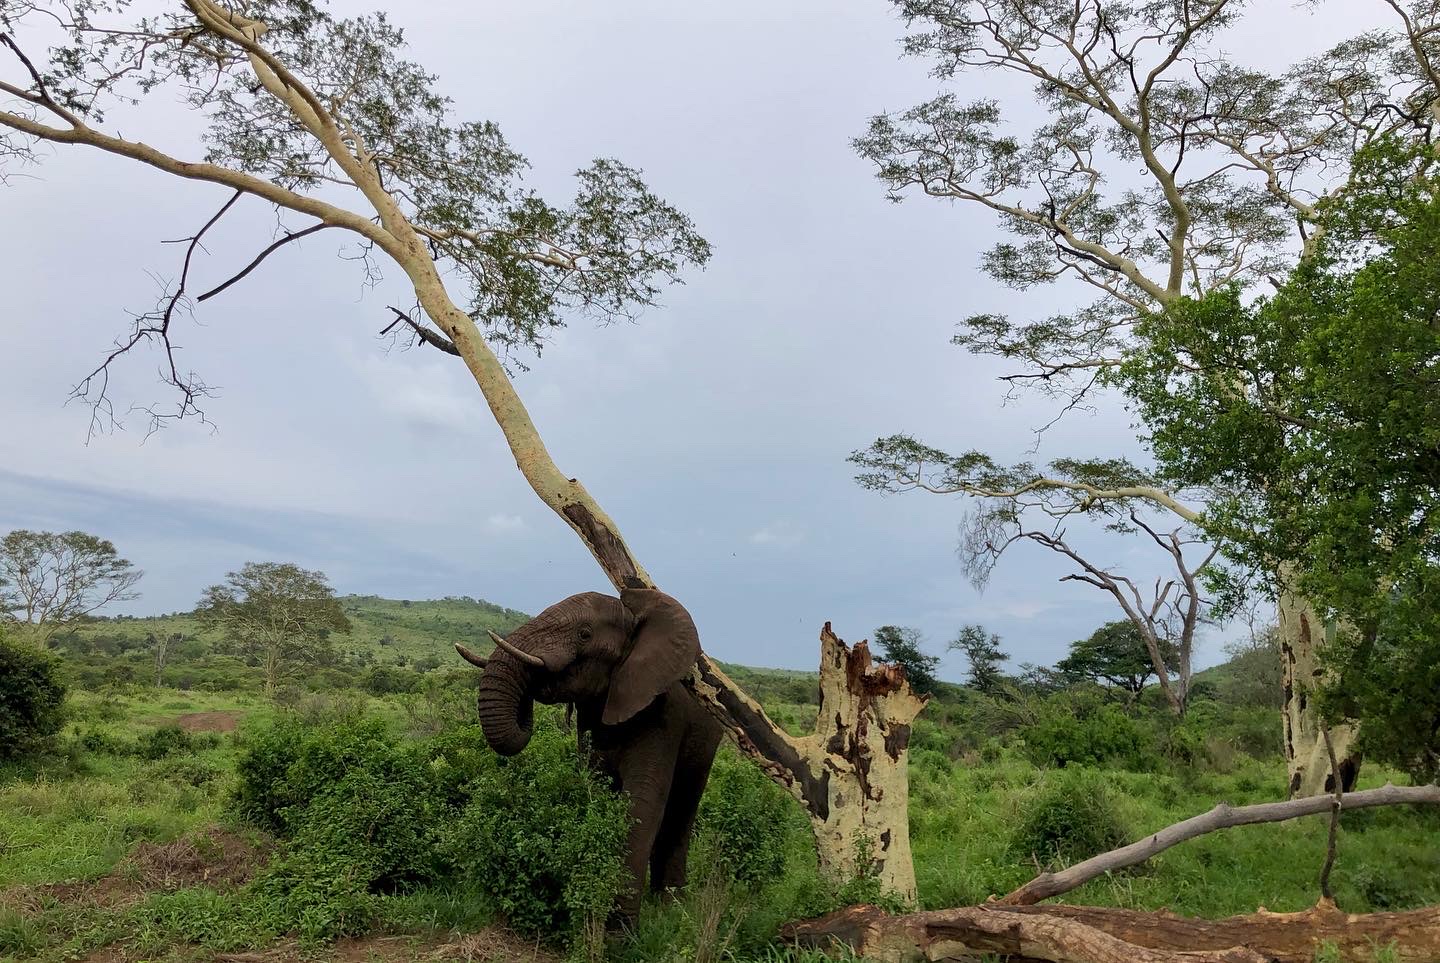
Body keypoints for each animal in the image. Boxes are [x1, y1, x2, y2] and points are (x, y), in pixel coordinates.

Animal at [455, 587, 722, 920]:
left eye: (584, 634)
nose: (533, 685)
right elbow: (598, 791)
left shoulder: (662, 716)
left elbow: (641, 806)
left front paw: (618, 930)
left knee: (681, 810)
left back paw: (671, 908)